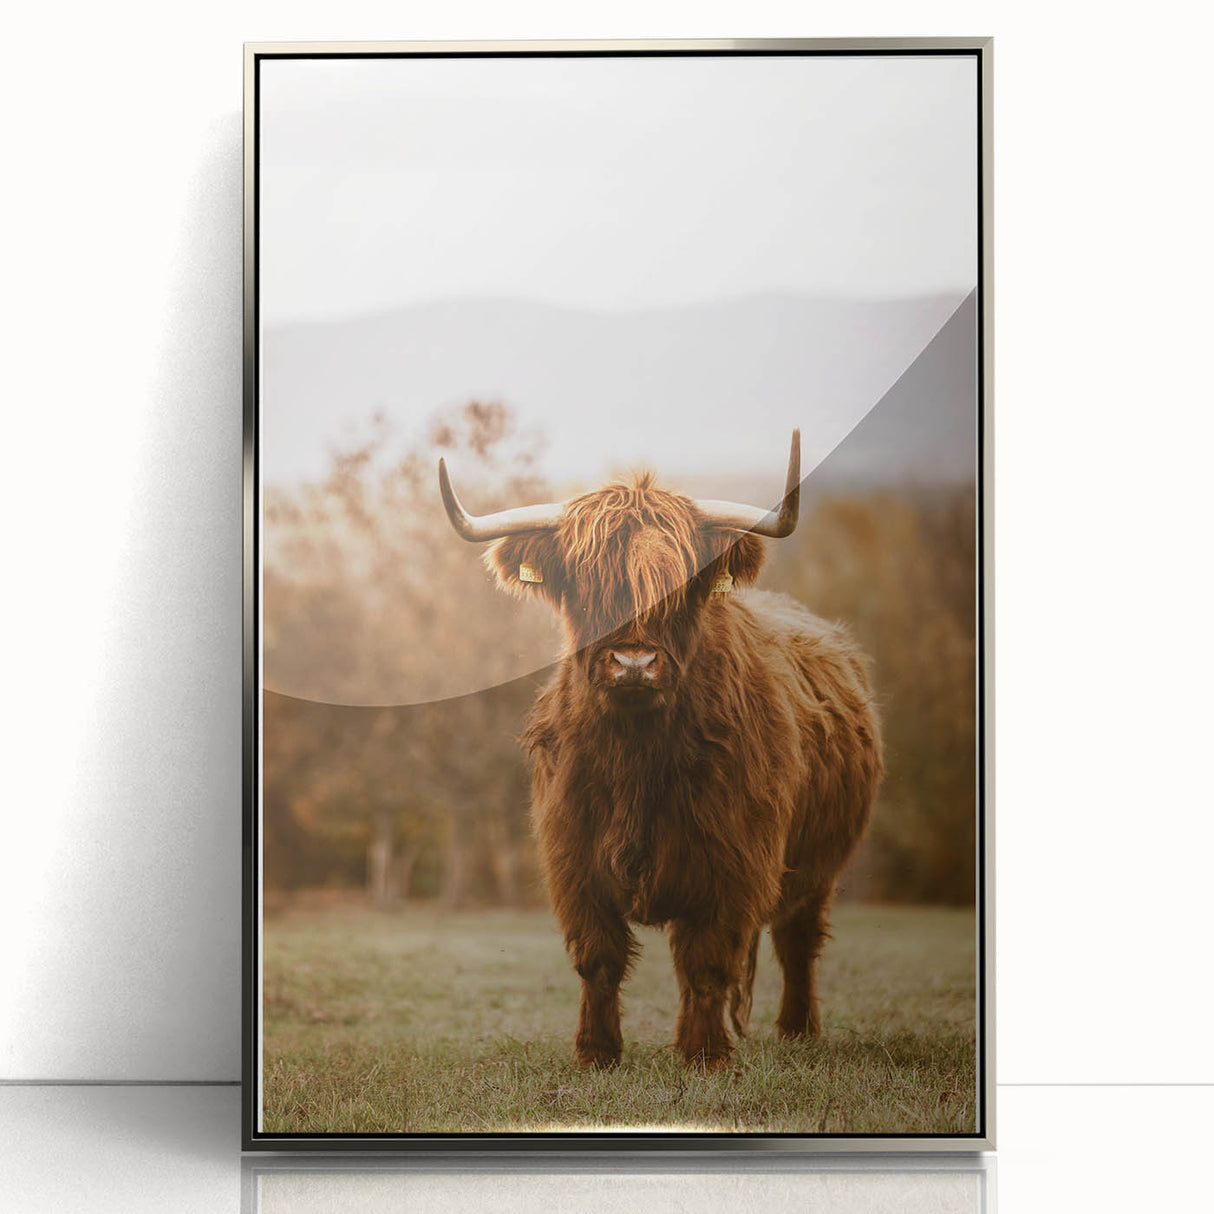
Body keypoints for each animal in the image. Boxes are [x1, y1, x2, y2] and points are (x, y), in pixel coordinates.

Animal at [437, 431, 883, 1071]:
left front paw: (704, 1055)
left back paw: (799, 1032)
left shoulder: (733, 860)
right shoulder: (574, 858)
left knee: (796, 938)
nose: (633, 663)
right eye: (585, 585)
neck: (636, 756)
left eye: (683, 586)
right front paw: (596, 1053)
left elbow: (708, 959)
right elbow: (598, 959)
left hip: (818, 862)